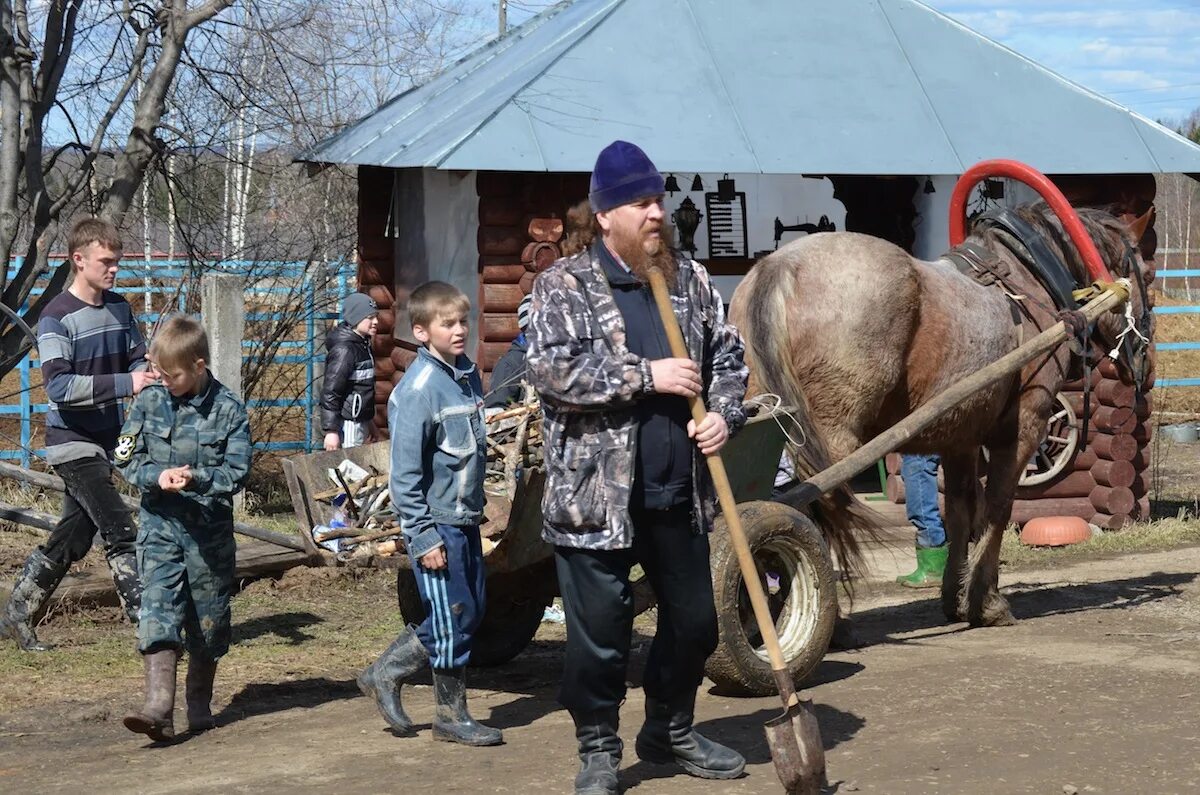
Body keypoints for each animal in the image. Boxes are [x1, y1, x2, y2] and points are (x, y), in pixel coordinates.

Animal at [729, 200, 1152, 629]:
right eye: (1147, 274)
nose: (1145, 365)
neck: (1024, 286)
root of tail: (781, 266)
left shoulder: (960, 439)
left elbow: (962, 511)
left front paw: (956, 598)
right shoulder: (1022, 429)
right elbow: (998, 507)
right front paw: (987, 600)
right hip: (832, 438)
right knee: (811, 508)